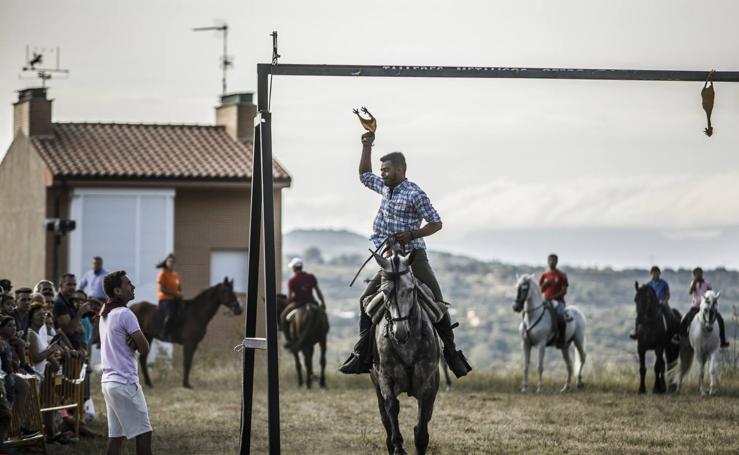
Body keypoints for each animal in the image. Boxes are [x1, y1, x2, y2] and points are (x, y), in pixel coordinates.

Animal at [370, 253, 440, 455]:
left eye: (410, 290)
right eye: (384, 292)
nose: (399, 332)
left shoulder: (428, 384)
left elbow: (422, 423)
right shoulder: (385, 379)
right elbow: (392, 408)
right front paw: (398, 447)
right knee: (385, 415)